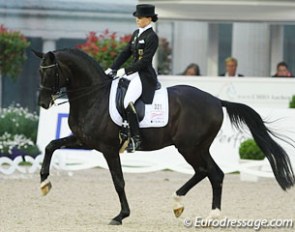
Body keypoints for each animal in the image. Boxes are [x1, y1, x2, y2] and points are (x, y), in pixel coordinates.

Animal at [33, 48, 294, 225]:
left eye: (51, 73)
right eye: (39, 73)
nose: (43, 103)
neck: (93, 97)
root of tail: (215, 100)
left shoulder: (108, 149)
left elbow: (118, 182)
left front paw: (121, 215)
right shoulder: (84, 141)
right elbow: (51, 145)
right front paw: (44, 183)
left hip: (189, 147)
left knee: (207, 171)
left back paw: (194, 207)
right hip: (198, 147)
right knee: (213, 173)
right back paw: (202, 211)